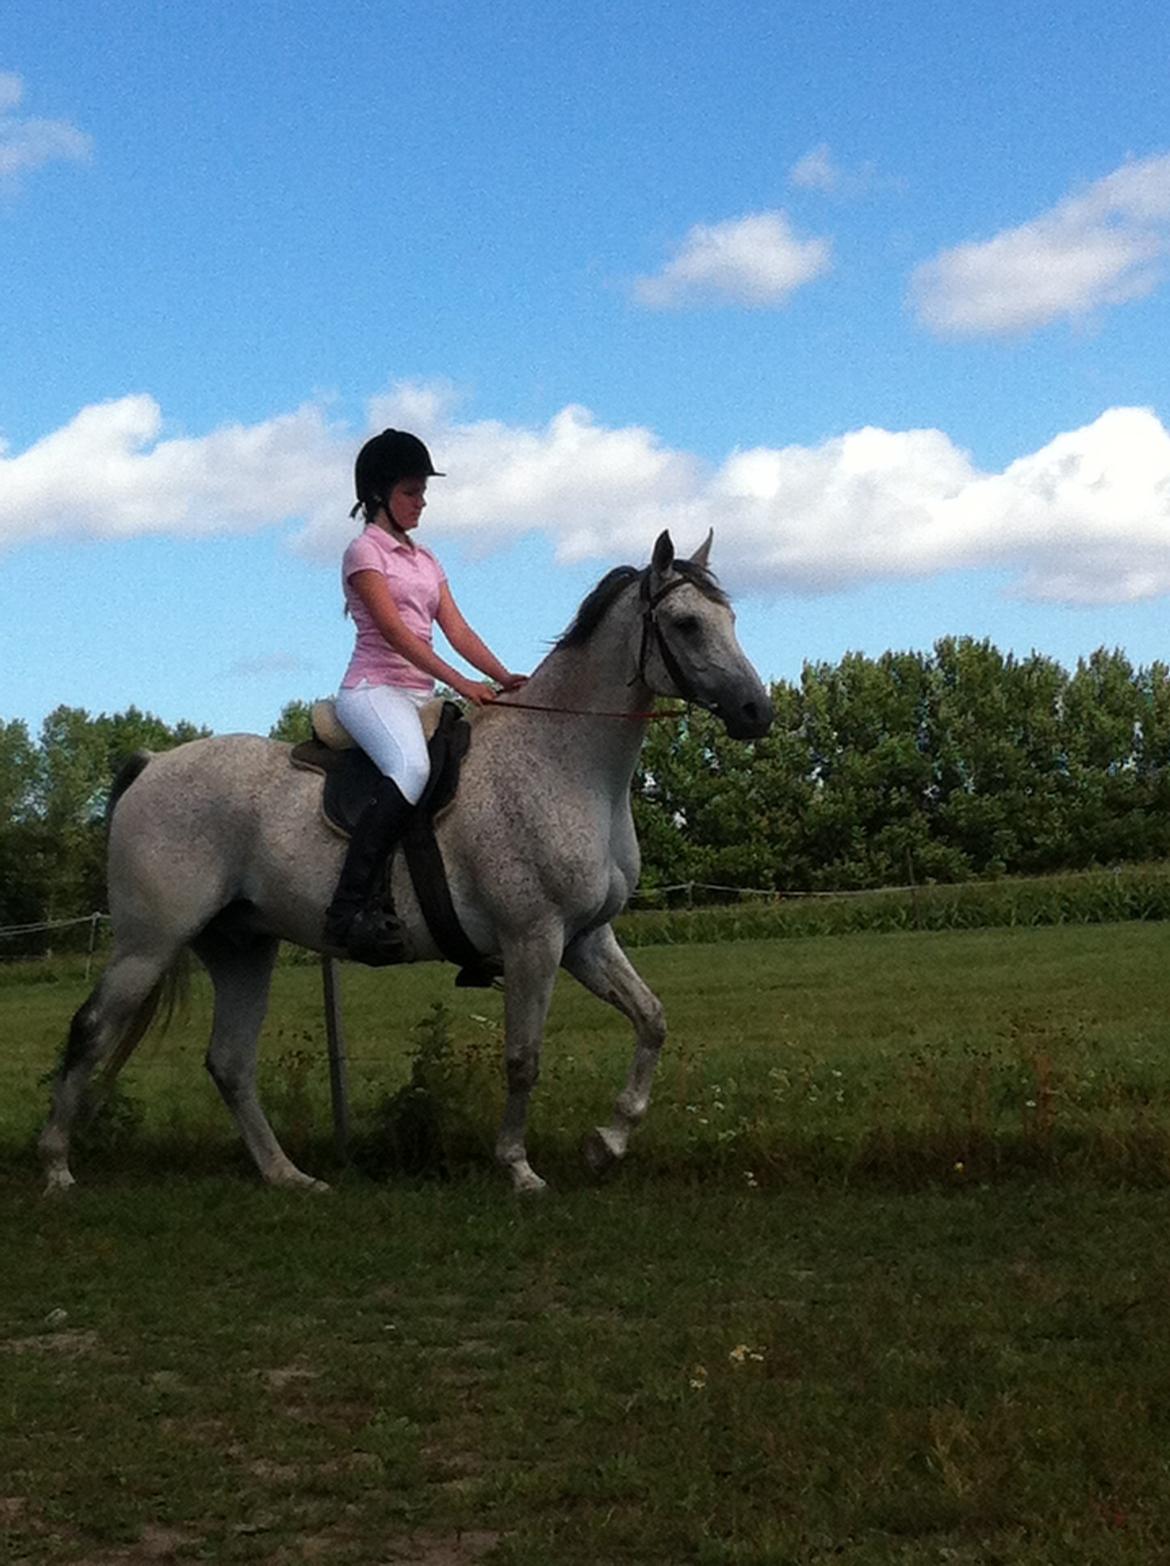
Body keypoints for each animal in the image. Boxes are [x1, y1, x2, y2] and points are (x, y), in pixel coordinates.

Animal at [41, 532, 776, 1190]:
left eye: (731, 619)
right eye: (686, 623)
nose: (756, 712)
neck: (563, 760)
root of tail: (153, 763)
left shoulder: (586, 939)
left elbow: (651, 1020)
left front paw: (608, 1142)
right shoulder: (533, 939)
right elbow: (524, 1058)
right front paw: (519, 1168)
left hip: (242, 946)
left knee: (230, 1063)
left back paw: (288, 1176)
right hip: (149, 943)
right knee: (90, 1031)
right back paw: (57, 1170)